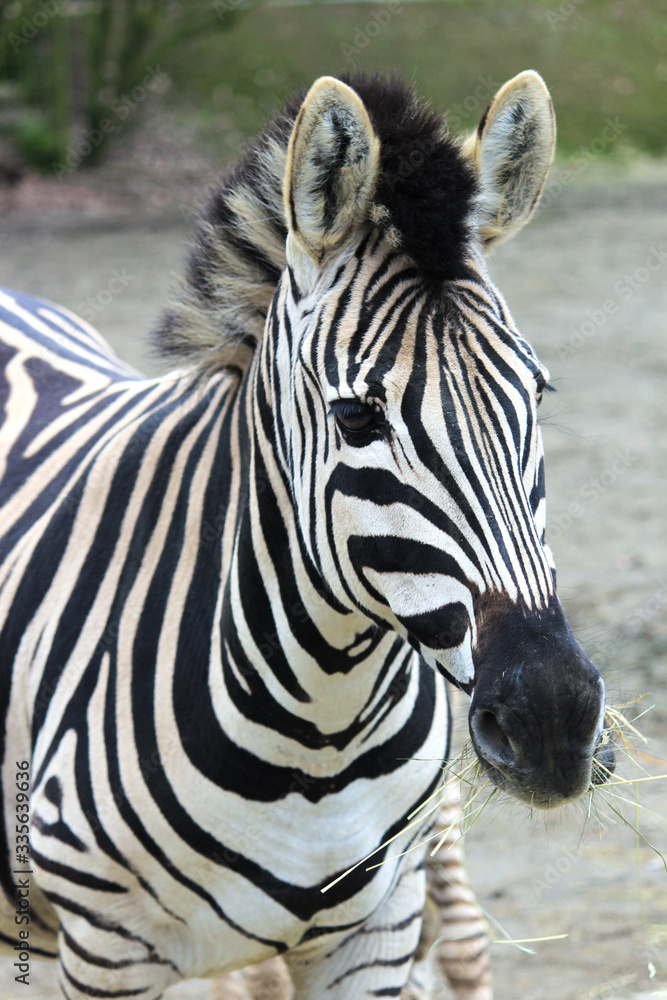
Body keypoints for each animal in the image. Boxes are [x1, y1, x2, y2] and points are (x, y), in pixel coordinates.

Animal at [0, 69, 612, 999]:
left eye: (534, 394)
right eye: (356, 416)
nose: (551, 720)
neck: (319, 729)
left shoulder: (377, 933)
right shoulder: (106, 951)